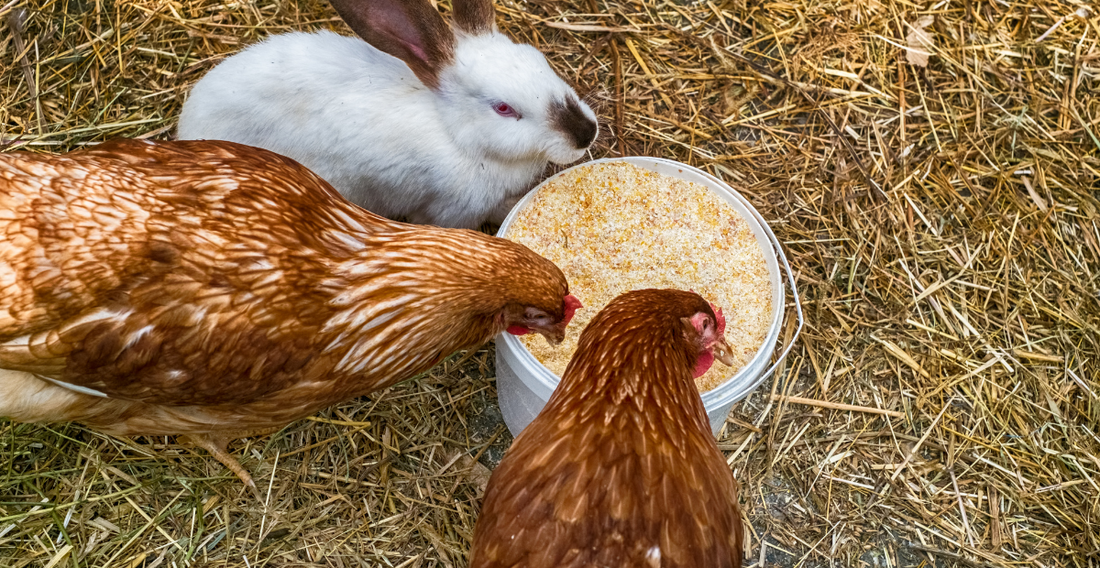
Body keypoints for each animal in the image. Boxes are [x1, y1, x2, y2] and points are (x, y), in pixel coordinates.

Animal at [177, 0, 598, 229]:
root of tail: (185, 130)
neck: (458, 135)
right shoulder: (451, 210)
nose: (585, 133)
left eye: (540, 61)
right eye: (504, 108)